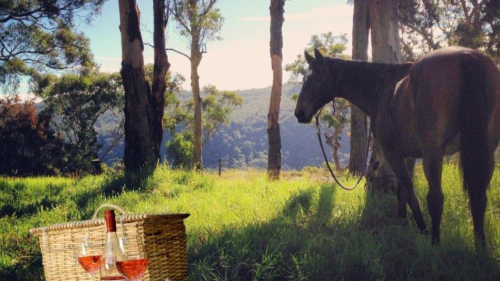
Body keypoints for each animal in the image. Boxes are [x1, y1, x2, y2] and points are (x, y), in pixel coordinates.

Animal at [294, 46, 500, 245]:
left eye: (318, 77)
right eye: (304, 78)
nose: (299, 113)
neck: (381, 87)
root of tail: (467, 56)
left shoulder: (393, 154)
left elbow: (410, 192)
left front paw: (421, 229)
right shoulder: (409, 155)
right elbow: (402, 192)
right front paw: (403, 222)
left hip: (434, 155)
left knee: (436, 199)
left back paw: (435, 243)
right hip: (486, 153)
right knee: (479, 199)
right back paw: (480, 246)